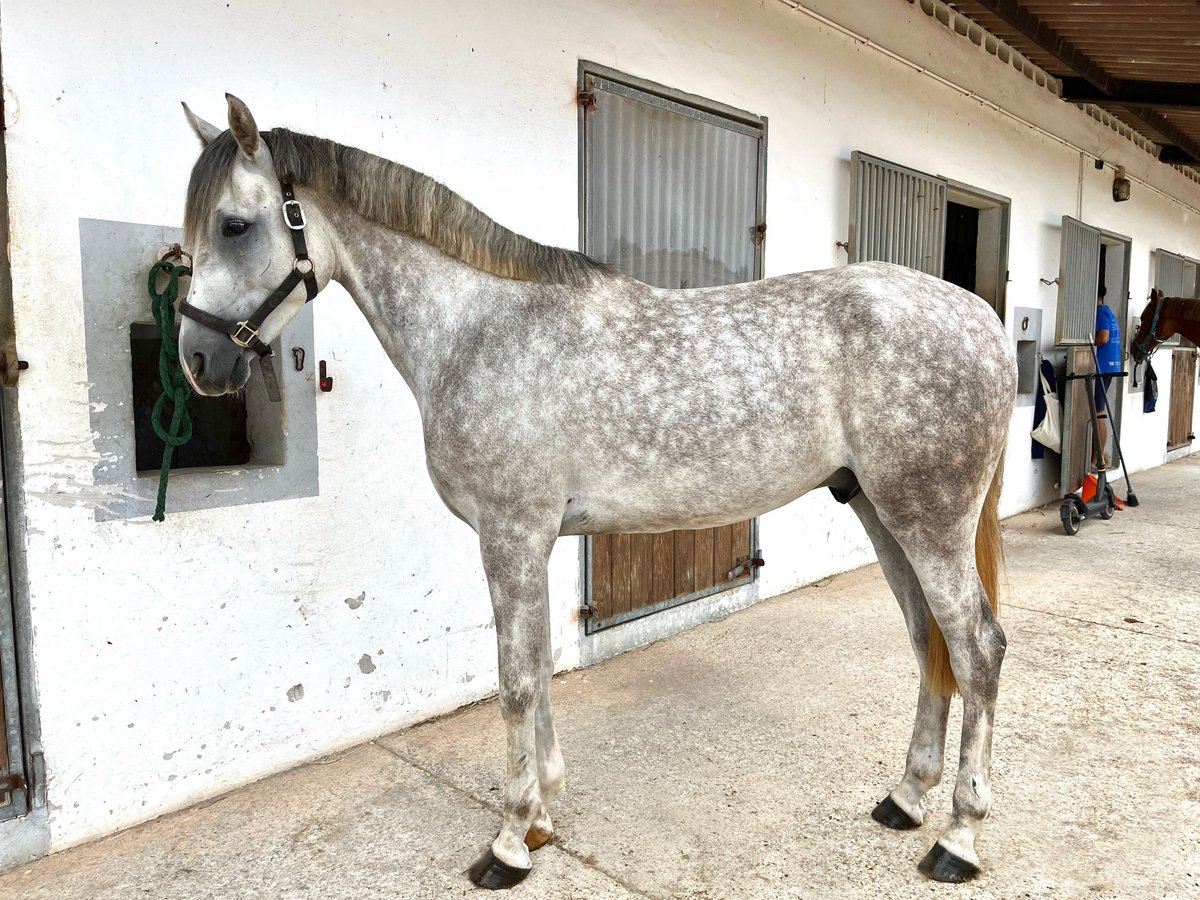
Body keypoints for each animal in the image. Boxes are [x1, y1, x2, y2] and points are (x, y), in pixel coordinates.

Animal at [174, 97, 1017, 888]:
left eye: (236, 225)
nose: (198, 362)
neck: (479, 330)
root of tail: (982, 319)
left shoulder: (510, 535)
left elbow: (515, 683)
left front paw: (509, 843)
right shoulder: (534, 540)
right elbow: (540, 668)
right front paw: (543, 819)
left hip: (928, 521)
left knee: (977, 648)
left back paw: (958, 837)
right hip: (882, 511)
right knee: (928, 640)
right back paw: (906, 799)